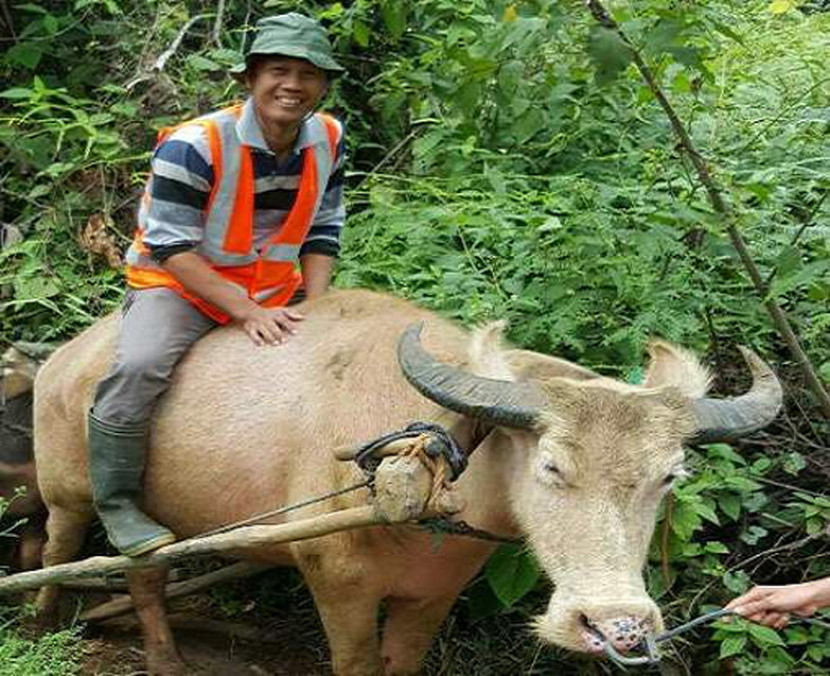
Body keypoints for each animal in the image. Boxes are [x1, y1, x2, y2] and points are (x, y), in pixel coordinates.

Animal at [34, 288, 788, 672]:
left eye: (668, 477)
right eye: (551, 466)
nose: (616, 626)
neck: (430, 468)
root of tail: (66, 357)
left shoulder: (435, 594)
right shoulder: (335, 582)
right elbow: (358, 666)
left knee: (145, 574)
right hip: (65, 493)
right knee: (56, 548)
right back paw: (42, 624)